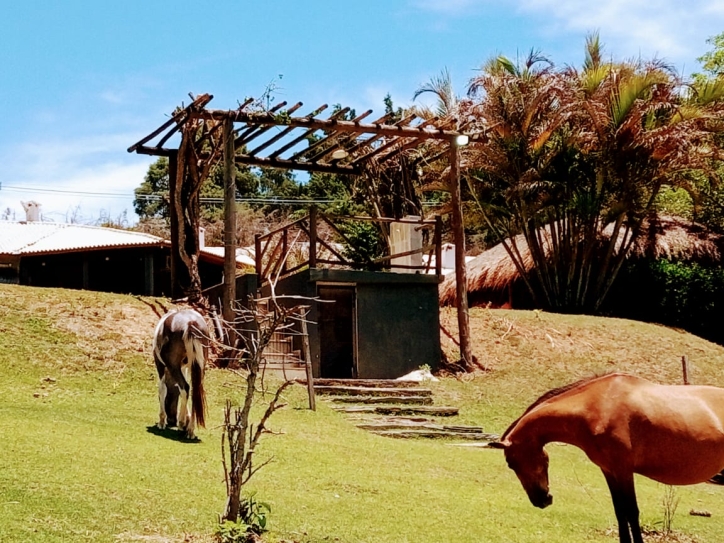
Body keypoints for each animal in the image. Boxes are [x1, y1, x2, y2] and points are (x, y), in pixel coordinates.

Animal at [152, 308, 209, 440]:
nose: (171, 420)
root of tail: (191, 322)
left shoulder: (161, 366)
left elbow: (162, 389)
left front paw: (162, 421)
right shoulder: (185, 367)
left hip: (173, 366)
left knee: (185, 388)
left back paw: (182, 424)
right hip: (199, 367)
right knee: (194, 391)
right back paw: (190, 430)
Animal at [492, 374, 724, 543]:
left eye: (512, 463)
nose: (541, 500)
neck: (597, 406)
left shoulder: (624, 471)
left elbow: (631, 512)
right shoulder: (609, 471)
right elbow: (620, 512)